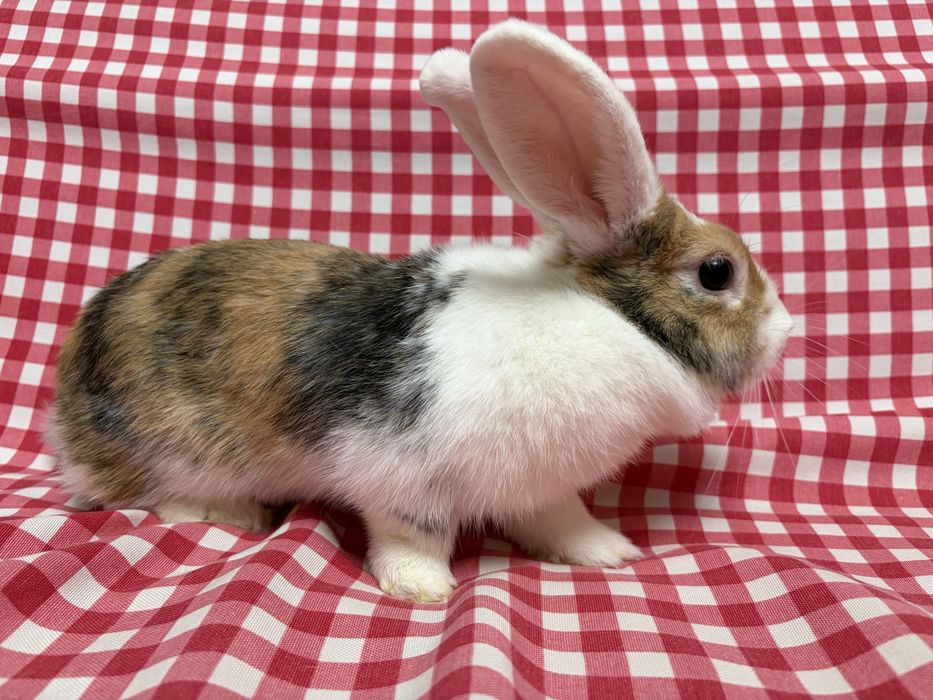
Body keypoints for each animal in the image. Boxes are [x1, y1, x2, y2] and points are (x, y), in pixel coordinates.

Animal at [50, 20, 793, 603]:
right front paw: (421, 589)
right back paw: (228, 513)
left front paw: (609, 551)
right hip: (175, 447)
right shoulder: (402, 474)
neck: (613, 321)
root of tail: (65, 406)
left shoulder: (541, 486)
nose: (789, 329)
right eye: (717, 271)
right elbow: (414, 536)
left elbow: (560, 521)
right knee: (141, 494)